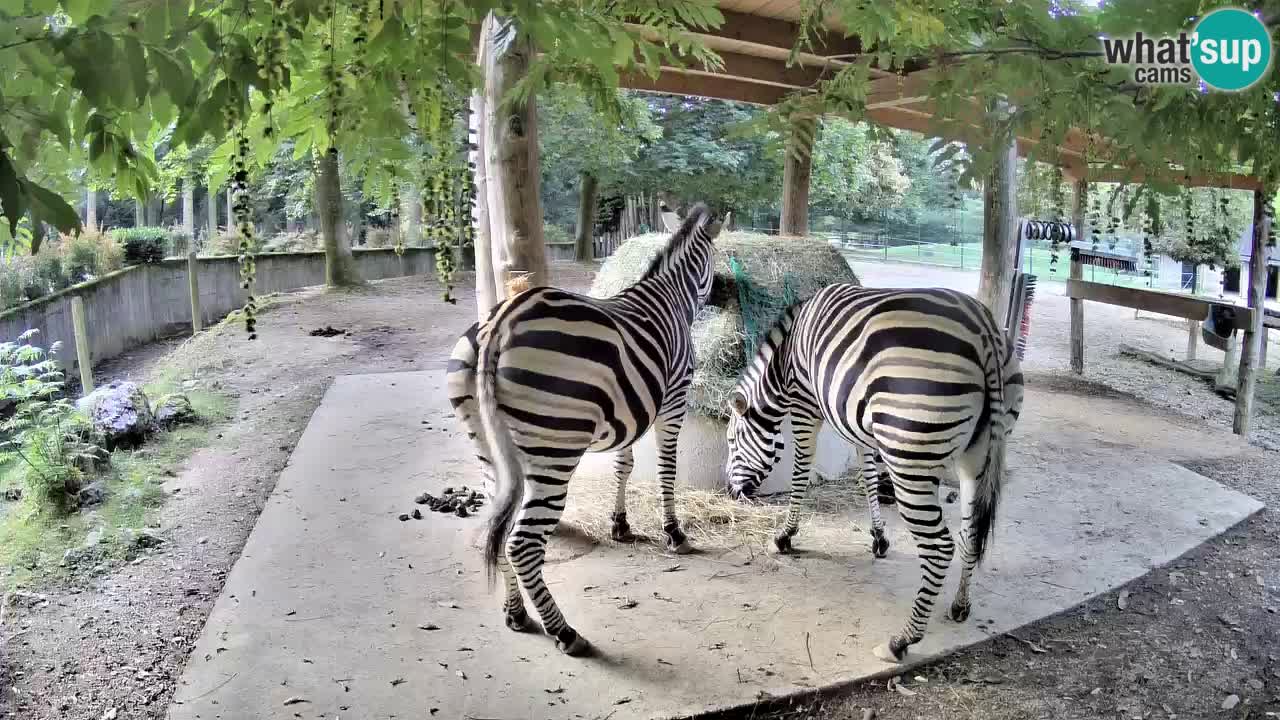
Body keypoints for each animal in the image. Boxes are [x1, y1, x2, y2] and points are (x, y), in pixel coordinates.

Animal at [448, 204, 727, 653]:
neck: (671, 296)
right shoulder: (673, 399)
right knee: (522, 542)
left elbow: (624, 466)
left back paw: (516, 614)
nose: (724, 295)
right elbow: (666, 469)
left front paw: (621, 525)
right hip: (554, 449)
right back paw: (564, 631)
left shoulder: (628, 412)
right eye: (717, 260)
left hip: (489, 449)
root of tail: (500, 324)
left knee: (499, 523)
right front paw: (674, 533)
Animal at [727, 283, 1024, 666]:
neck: (785, 358)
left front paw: (785, 536)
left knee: (940, 547)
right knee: (970, 534)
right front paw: (879, 537)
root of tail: (984, 331)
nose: (731, 492)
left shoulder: (806, 404)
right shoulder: (859, 420)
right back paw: (960, 605)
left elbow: (801, 470)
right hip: (976, 456)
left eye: (732, 440)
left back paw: (902, 641)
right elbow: (868, 474)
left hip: (909, 454)